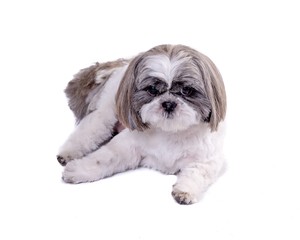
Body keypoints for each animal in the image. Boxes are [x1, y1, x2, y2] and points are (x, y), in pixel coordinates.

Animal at [57, 44, 226, 204]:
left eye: (187, 90)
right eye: (152, 89)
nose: (168, 103)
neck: (170, 133)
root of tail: (125, 62)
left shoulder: (207, 158)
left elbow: (198, 173)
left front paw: (185, 191)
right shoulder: (126, 146)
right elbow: (102, 159)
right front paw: (78, 170)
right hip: (108, 111)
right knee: (92, 129)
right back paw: (67, 153)